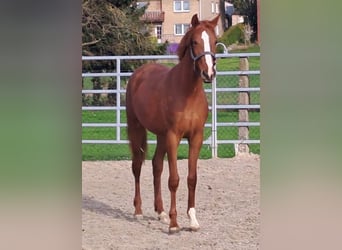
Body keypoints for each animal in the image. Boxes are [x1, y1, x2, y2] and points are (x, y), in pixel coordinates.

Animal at [125, 13, 219, 232]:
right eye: (194, 42)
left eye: (215, 41)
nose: (208, 73)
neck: (188, 92)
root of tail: (138, 73)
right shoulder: (173, 137)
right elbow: (174, 179)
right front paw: (175, 224)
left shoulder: (196, 138)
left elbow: (192, 178)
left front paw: (192, 220)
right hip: (137, 128)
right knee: (137, 165)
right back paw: (138, 211)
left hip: (160, 136)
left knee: (156, 165)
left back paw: (160, 212)